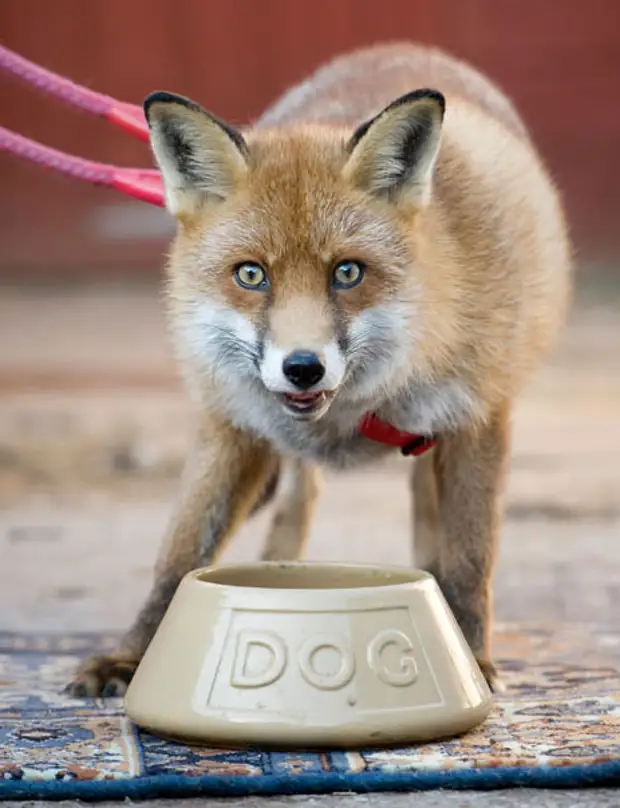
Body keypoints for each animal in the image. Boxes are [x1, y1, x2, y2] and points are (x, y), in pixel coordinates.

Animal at [66, 41, 572, 696]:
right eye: (251, 274)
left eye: (347, 272)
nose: (302, 368)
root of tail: (404, 47)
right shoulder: (232, 423)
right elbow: (178, 556)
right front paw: (131, 658)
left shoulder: (478, 419)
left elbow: (469, 556)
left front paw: (471, 658)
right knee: (295, 500)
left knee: (425, 516)